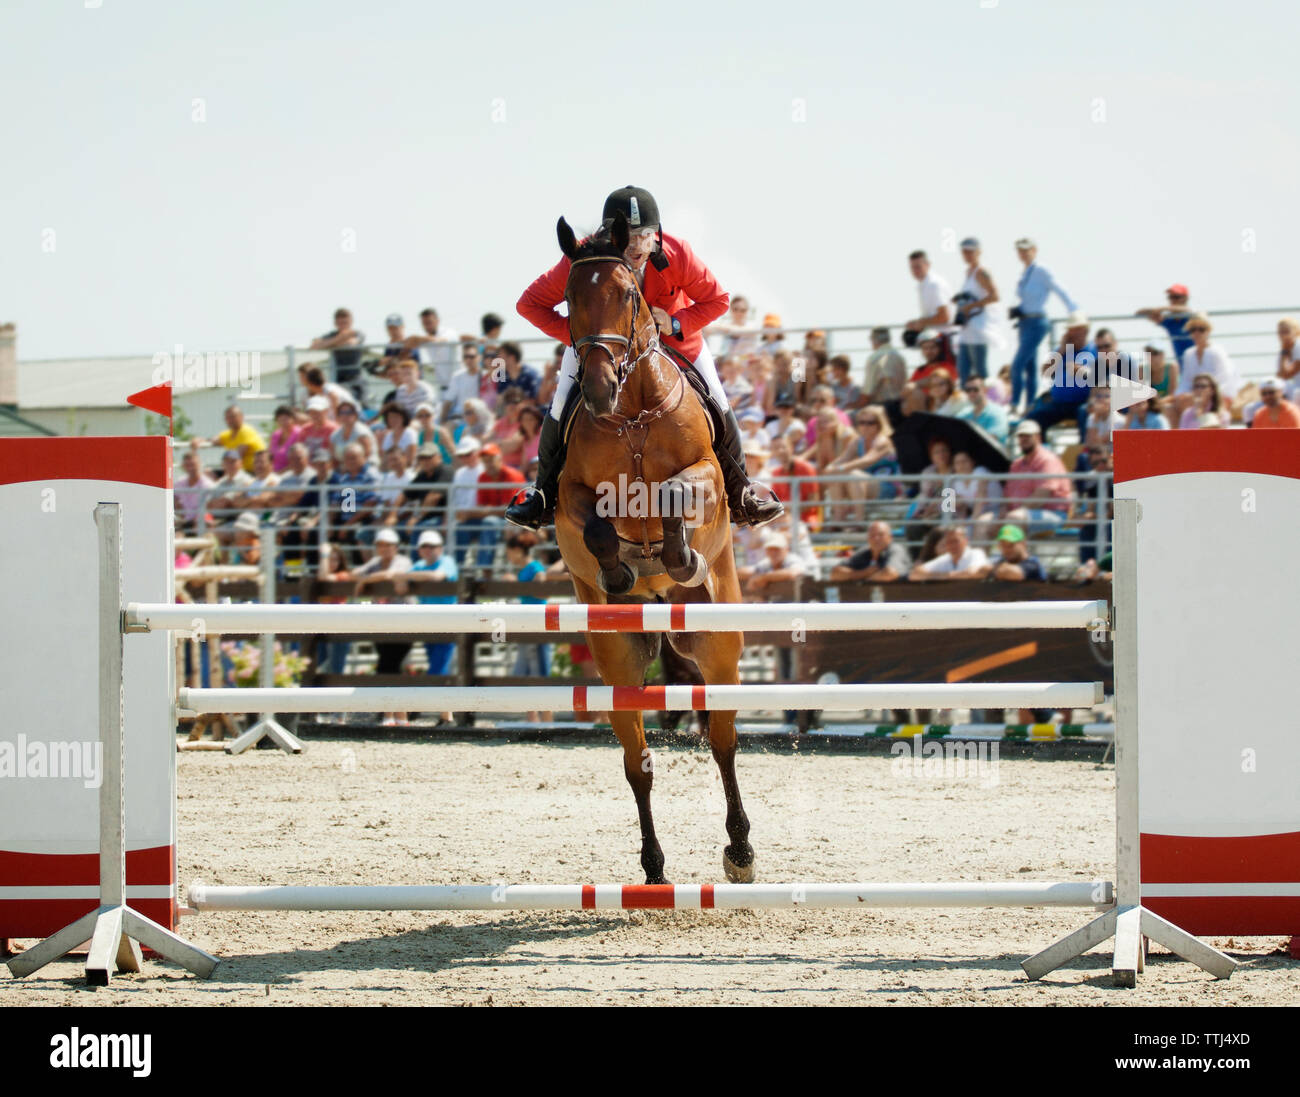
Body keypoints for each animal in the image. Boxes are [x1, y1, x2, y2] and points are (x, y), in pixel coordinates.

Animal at [546, 210, 754, 889]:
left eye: (631, 296)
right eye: (569, 299)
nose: (597, 387)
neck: (634, 412)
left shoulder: (706, 475)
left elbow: (673, 493)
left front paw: (679, 555)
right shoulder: (571, 496)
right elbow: (596, 526)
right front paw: (618, 570)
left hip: (717, 645)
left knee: (722, 741)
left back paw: (740, 850)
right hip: (618, 661)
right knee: (637, 763)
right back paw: (655, 868)